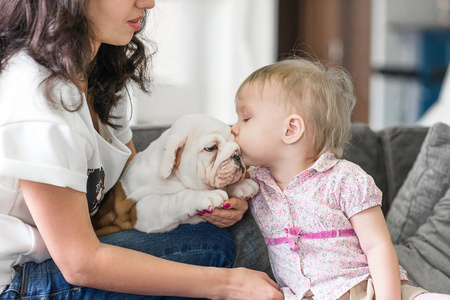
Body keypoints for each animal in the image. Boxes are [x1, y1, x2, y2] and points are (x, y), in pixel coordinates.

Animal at [121, 113, 258, 233]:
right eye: (211, 148)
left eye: (237, 143)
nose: (237, 154)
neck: (176, 177)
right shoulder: (140, 211)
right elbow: (173, 199)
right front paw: (206, 195)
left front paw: (243, 185)